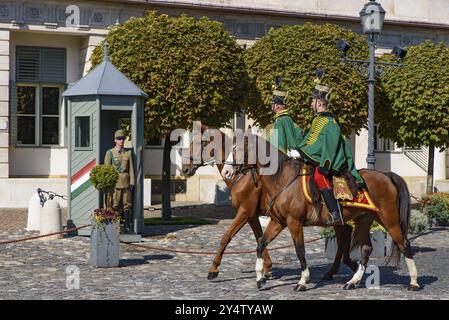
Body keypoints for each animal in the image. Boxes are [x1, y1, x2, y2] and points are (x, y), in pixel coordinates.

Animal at [180, 124, 358, 280]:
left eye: (201, 142)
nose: (185, 169)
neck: (242, 177)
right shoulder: (253, 216)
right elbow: (259, 237)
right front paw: (266, 268)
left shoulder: (245, 212)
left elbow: (227, 237)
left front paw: (213, 269)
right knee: (343, 238)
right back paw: (341, 268)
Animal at [233, 139, 418, 292]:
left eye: (238, 149)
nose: (230, 170)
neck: (284, 180)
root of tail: (386, 175)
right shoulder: (278, 222)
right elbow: (261, 243)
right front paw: (260, 278)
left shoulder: (294, 222)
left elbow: (300, 250)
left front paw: (302, 281)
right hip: (363, 220)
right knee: (366, 248)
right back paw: (353, 281)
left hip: (389, 219)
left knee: (403, 243)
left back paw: (414, 282)